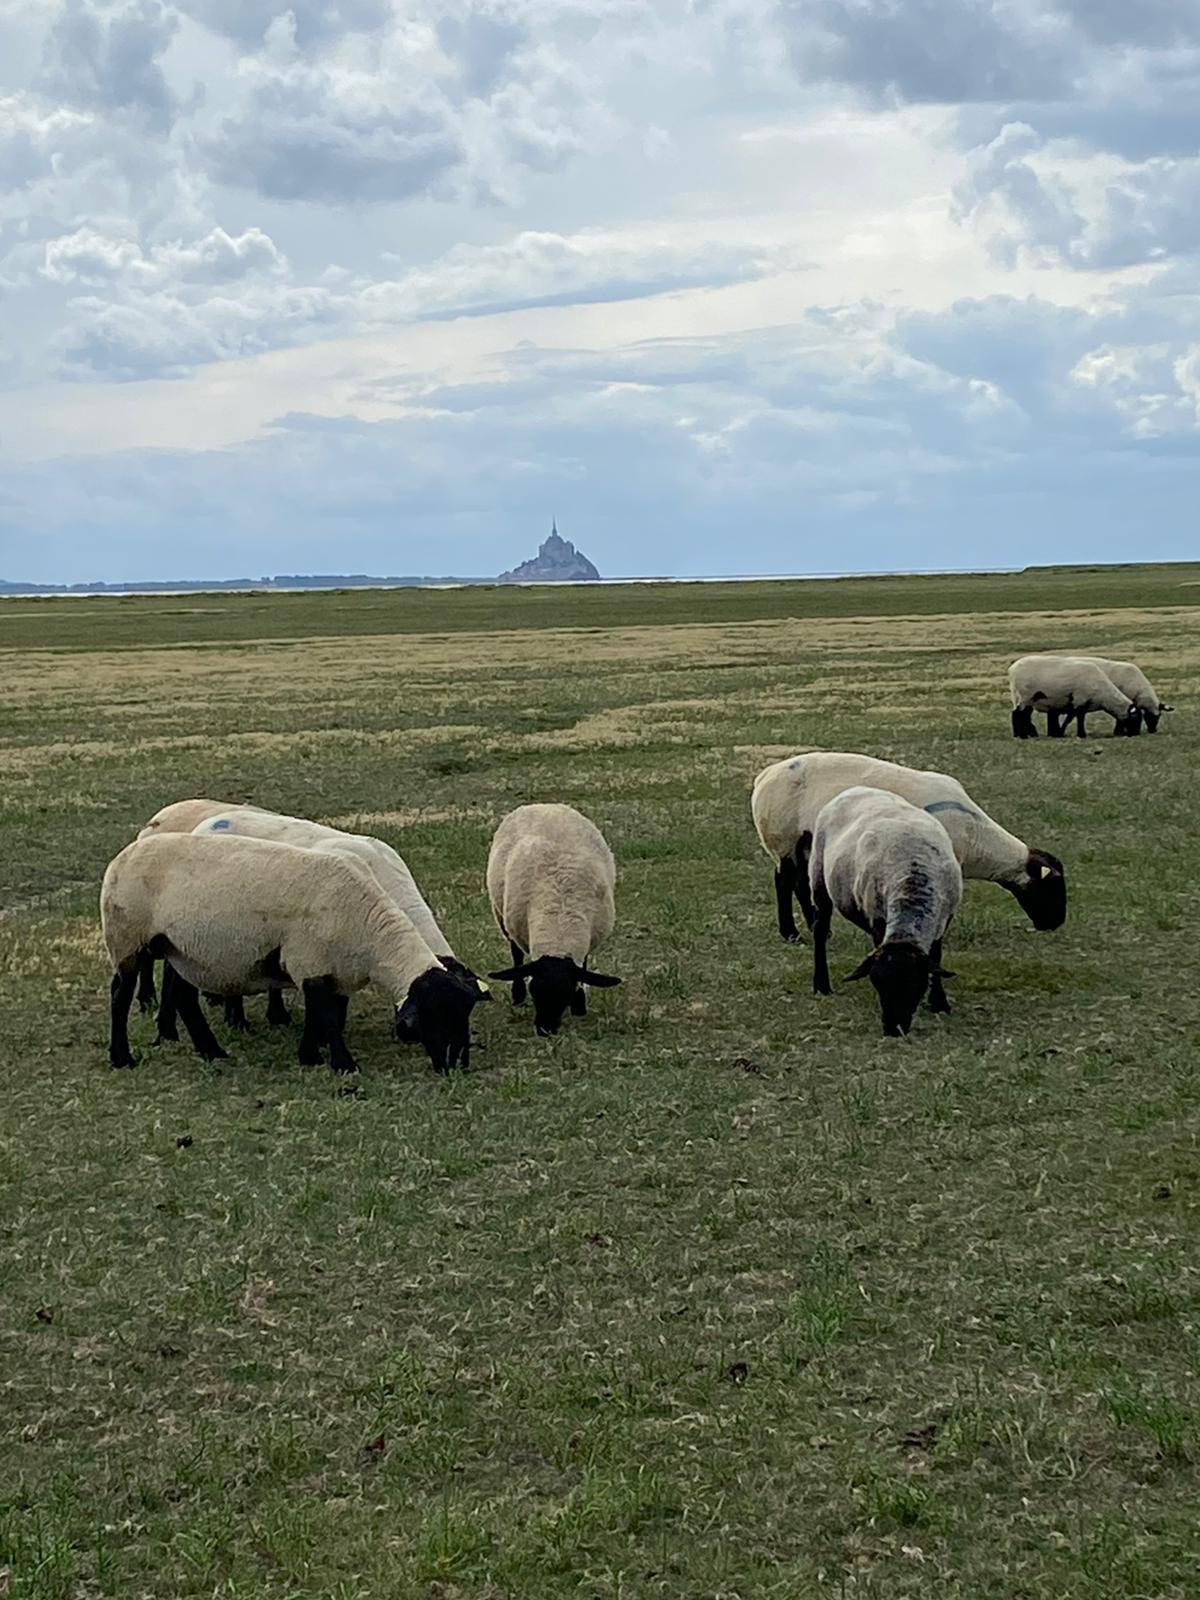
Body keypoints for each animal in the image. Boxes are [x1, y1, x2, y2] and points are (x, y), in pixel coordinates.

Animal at [100, 838, 489, 1075]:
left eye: (465, 1014)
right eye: (435, 1015)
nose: (456, 1066)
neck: (367, 931)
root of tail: (122, 856)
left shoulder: (332, 970)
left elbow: (323, 1015)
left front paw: (311, 1055)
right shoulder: (309, 961)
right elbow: (326, 1016)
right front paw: (343, 1064)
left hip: (183, 950)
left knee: (183, 997)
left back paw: (212, 1051)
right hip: (128, 938)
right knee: (120, 996)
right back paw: (122, 1057)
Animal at [486, 800, 620, 1036]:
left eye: (566, 995)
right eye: (534, 991)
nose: (545, 1030)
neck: (559, 923)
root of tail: (542, 804)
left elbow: (583, 969)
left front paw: (579, 1006)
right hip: (501, 915)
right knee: (516, 955)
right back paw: (517, 995)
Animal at [755, 745, 1068, 934]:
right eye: (1051, 887)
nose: (1055, 924)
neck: (976, 837)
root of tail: (764, 776)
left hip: (803, 844)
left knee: (798, 883)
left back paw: (814, 926)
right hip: (782, 840)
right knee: (783, 881)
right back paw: (791, 933)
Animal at [809, 787, 966, 1036]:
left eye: (915, 984)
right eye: (877, 983)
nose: (893, 1029)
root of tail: (855, 789)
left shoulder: (944, 919)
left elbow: (936, 958)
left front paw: (939, 1003)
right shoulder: (877, 918)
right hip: (818, 876)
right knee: (820, 930)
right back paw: (822, 985)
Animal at [1011, 652, 1139, 739]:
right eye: (1135, 718)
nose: (1136, 734)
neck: (1103, 694)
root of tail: (1012, 669)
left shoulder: (1079, 703)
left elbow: (1072, 718)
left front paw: (1061, 733)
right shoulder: (1079, 700)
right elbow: (1075, 718)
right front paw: (1079, 734)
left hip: (1026, 698)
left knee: (1020, 714)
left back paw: (1019, 735)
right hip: (1025, 696)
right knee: (1019, 714)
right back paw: (1022, 736)